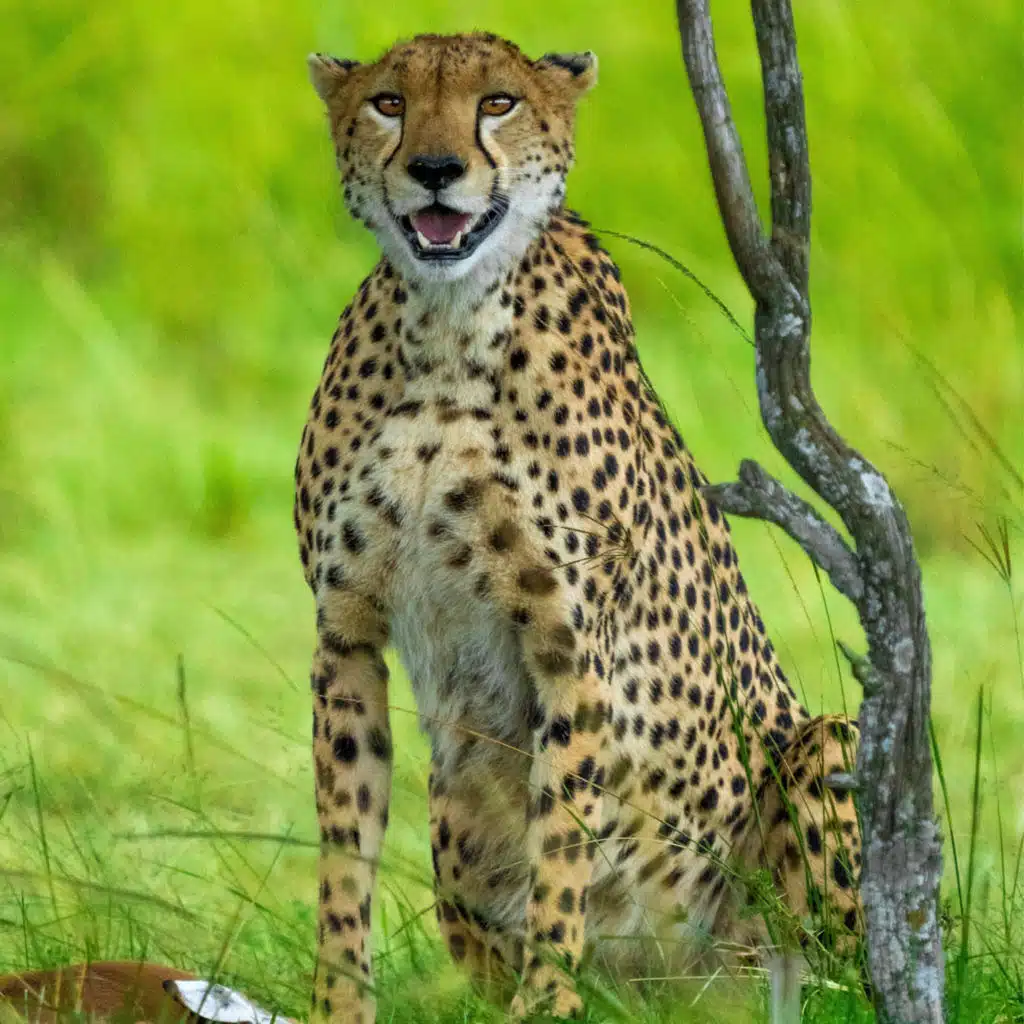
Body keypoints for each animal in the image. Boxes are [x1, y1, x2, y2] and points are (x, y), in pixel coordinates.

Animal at [294, 31, 863, 1024]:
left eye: (498, 103)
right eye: (390, 103)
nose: (436, 170)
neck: (446, 328)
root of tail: (677, 996)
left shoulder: (572, 646)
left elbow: (561, 842)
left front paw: (547, 1005)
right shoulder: (346, 631)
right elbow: (343, 850)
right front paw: (339, 1005)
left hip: (822, 753)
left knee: (820, 976)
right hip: (455, 810)